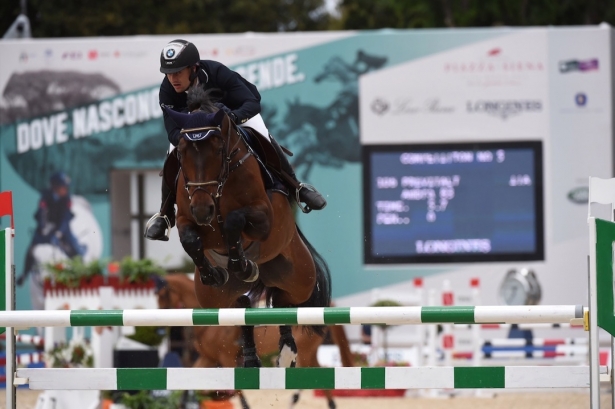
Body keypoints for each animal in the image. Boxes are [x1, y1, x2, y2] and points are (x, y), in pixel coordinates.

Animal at [155, 272, 356, 408]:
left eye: (163, 296)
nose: (158, 330)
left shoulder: (226, 358)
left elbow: (237, 390)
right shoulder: (208, 358)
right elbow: (192, 384)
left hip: (304, 350)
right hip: (308, 350)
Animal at [161, 87, 330, 368]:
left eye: (218, 148)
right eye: (181, 153)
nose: (203, 210)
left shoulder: (265, 219)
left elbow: (233, 221)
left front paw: (241, 264)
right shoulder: (187, 218)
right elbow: (190, 240)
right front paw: (214, 273)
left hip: (300, 279)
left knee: (283, 302)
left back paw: (286, 352)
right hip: (214, 300)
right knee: (242, 306)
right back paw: (251, 356)